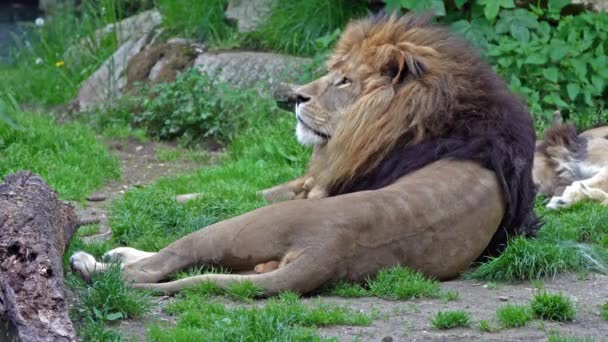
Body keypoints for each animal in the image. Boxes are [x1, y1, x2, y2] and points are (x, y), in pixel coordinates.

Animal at [70, 14, 536, 294]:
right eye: (332, 71)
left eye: (344, 81)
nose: (295, 97)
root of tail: (327, 252)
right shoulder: (311, 181)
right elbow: (228, 191)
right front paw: (162, 197)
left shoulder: (319, 189)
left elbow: (226, 198)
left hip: (238, 228)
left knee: (154, 265)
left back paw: (94, 260)